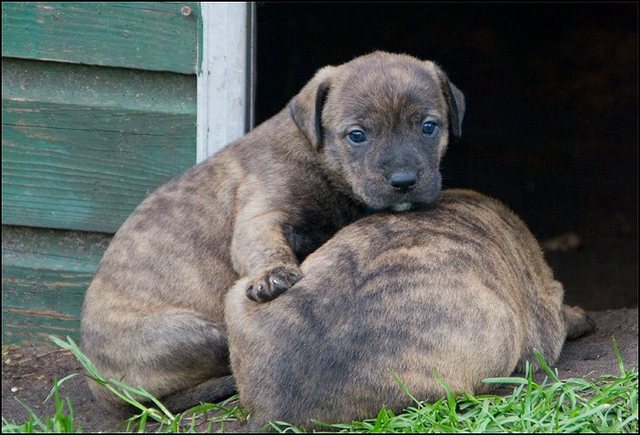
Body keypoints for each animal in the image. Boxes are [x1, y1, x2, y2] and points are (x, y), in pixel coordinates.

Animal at [79, 52, 464, 412]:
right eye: (357, 135)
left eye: (429, 127)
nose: (404, 182)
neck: (318, 158)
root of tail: (102, 389)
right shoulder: (262, 213)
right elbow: (263, 244)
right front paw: (272, 275)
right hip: (194, 334)